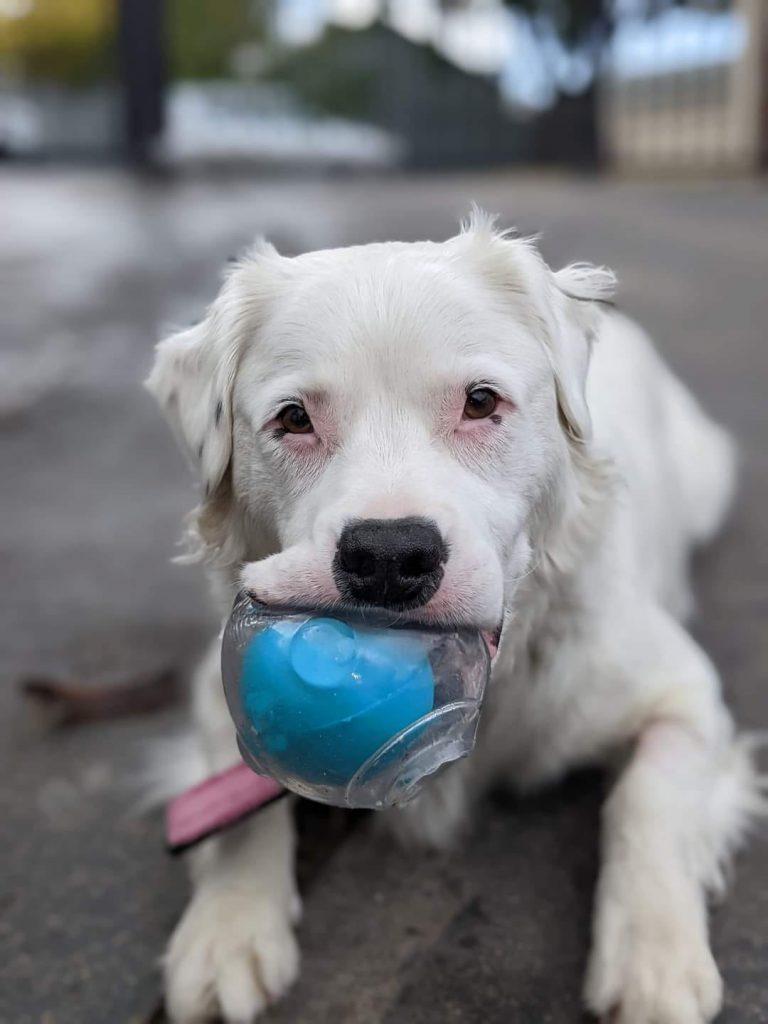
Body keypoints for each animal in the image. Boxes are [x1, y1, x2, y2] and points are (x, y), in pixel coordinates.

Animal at [147, 211, 761, 1019]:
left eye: (479, 402)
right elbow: (236, 808)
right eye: (293, 419)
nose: (387, 556)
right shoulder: (213, 693)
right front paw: (227, 931)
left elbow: (647, 799)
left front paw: (653, 958)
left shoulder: (682, 692)